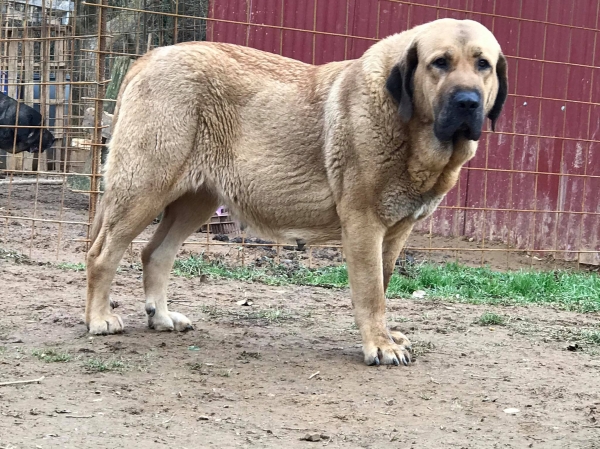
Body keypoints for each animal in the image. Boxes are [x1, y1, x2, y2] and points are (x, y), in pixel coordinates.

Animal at [84, 19, 506, 366]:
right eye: (440, 63)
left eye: (483, 64)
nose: (467, 101)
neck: (410, 129)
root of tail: (148, 57)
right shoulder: (364, 226)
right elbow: (371, 292)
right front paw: (380, 346)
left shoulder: (396, 231)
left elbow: (383, 286)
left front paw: (385, 336)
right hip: (144, 189)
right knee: (102, 254)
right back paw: (99, 318)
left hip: (195, 201)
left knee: (155, 253)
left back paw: (161, 316)